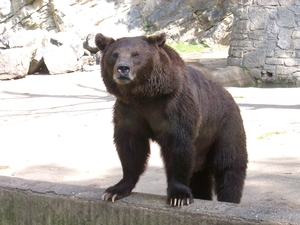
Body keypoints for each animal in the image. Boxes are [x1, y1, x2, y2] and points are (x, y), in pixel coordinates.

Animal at [95, 32, 247, 207]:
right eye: (114, 54)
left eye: (136, 54)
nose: (123, 68)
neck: (144, 96)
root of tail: (228, 94)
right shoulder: (129, 110)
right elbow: (131, 147)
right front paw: (114, 190)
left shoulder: (174, 106)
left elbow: (177, 146)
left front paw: (178, 196)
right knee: (200, 178)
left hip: (223, 127)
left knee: (229, 166)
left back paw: (230, 200)